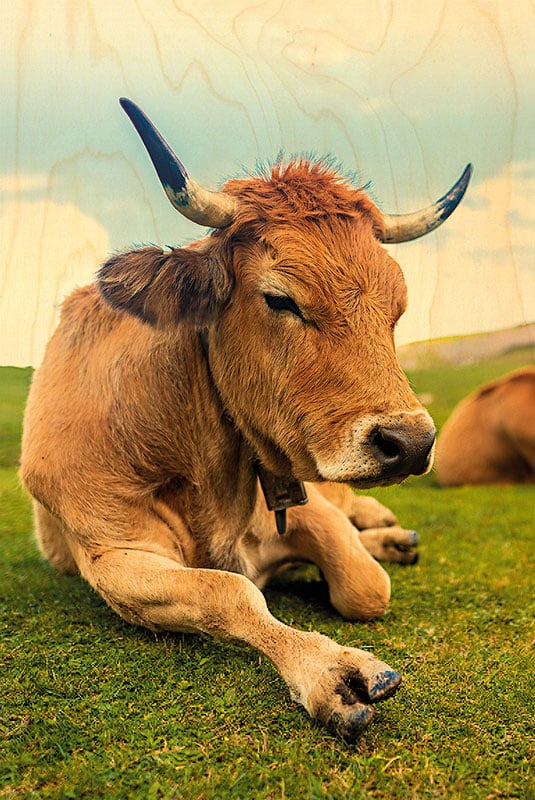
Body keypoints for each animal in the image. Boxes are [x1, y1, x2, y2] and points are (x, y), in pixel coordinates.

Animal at [20, 98, 471, 740]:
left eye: (398, 308)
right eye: (280, 299)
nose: (410, 442)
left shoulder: (294, 500)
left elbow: (365, 585)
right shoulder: (114, 556)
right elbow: (230, 592)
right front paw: (330, 669)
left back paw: (387, 530)